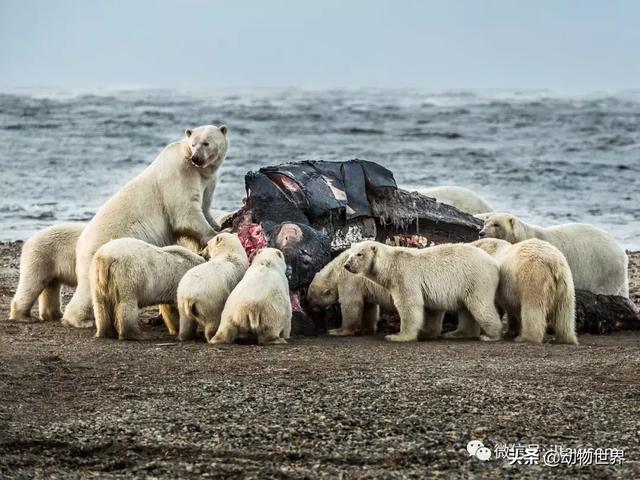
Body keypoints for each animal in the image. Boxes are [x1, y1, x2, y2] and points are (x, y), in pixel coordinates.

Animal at [62, 124, 228, 328]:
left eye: (206, 143)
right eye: (193, 143)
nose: (196, 158)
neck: (197, 170)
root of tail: (80, 243)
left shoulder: (207, 182)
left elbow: (205, 206)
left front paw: (218, 224)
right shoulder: (180, 176)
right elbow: (185, 213)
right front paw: (214, 233)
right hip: (97, 251)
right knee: (86, 288)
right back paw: (81, 320)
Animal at [342, 240, 502, 342]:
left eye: (359, 254)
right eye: (349, 253)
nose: (347, 265)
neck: (390, 264)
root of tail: (494, 263)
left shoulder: (404, 276)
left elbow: (409, 303)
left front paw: (398, 336)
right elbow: (431, 310)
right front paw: (426, 333)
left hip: (476, 278)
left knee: (479, 304)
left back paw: (490, 335)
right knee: (466, 308)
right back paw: (456, 333)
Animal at [478, 213, 628, 296]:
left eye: (497, 224)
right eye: (485, 222)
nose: (481, 233)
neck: (524, 236)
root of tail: (621, 252)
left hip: (604, 269)